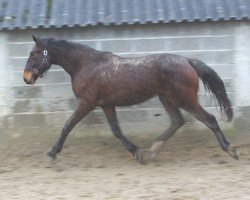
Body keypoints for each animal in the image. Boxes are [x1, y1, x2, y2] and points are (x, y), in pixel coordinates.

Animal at [23, 36, 238, 164]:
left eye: (33, 53)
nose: (26, 78)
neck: (87, 65)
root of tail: (187, 61)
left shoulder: (87, 103)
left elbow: (67, 126)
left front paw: (52, 153)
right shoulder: (106, 105)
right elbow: (116, 131)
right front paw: (137, 152)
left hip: (185, 99)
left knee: (209, 119)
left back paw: (231, 150)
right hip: (167, 98)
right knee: (177, 121)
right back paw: (153, 150)